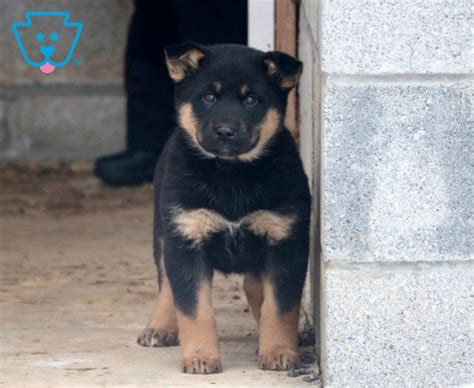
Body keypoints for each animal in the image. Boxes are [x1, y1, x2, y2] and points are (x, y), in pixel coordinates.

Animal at [136, 44, 312, 374]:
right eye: (208, 97)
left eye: (251, 100)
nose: (226, 131)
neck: (231, 173)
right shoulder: (186, 239)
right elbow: (194, 308)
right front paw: (200, 358)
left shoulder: (285, 241)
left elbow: (280, 306)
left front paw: (279, 352)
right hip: (162, 233)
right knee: (167, 284)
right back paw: (159, 327)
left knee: (254, 288)